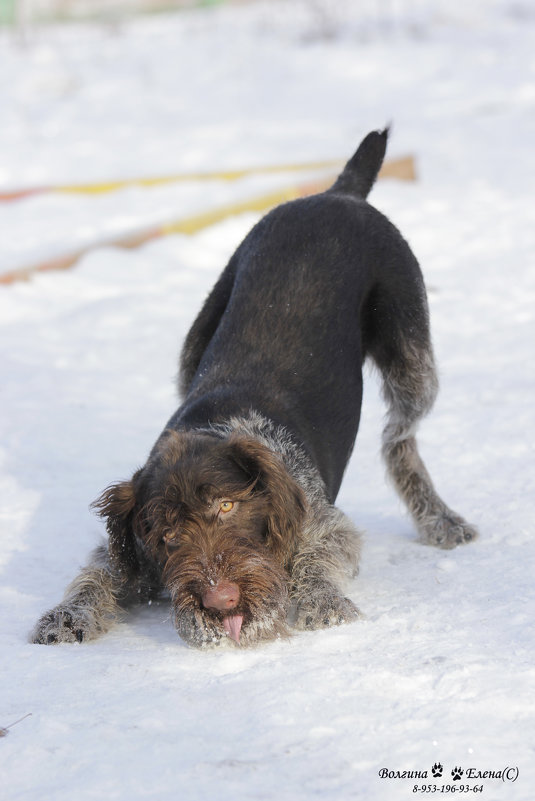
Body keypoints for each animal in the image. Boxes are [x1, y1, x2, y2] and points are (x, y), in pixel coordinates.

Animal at [32, 128, 478, 648]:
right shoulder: (130, 549)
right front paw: (67, 615)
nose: (220, 599)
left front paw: (323, 603)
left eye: (227, 505)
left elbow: (316, 558)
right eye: (166, 530)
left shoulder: (324, 524)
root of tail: (338, 193)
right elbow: (98, 573)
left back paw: (438, 519)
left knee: (399, 438)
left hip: (411, 354)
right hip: (197, 337)